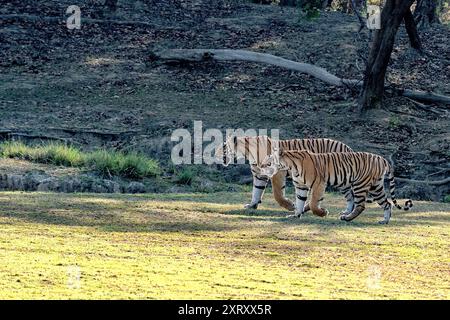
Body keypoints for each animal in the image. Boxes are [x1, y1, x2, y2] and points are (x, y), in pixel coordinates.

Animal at [215, 136, 356, 212]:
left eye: (223, 146)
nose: (215, 154)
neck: (248, 152)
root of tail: (348, 148)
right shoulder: (259, 175)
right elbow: (256, 191)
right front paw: (252, 206)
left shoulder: (277, 173)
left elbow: (277, 194)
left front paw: (289, 206)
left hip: (341, 178)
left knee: (351, 196)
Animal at [258, 149, 414, 224]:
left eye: (268, 162)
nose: (260, 168)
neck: (290, 166)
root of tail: (382, 158)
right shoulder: (301, 187)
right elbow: (300, 202)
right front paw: (295, 215)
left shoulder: (318, 184)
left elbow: (313, 203)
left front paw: (323, 213)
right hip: (376, 187)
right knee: (387, 204)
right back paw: (384, 221)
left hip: (360, 185)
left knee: (360, 205)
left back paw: (347, 218)